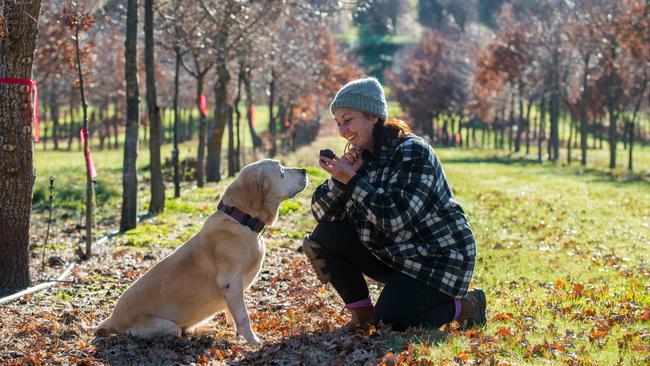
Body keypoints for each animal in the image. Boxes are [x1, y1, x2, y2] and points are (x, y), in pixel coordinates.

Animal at [97, 159, 308, 344]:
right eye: (281, 171)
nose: (305, 170)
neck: (242, 219)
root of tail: (112, 319)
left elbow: (231, 312)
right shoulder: (231, 283)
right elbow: (242, 317)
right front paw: (253, 341)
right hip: (166, 326)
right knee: (178, 331)